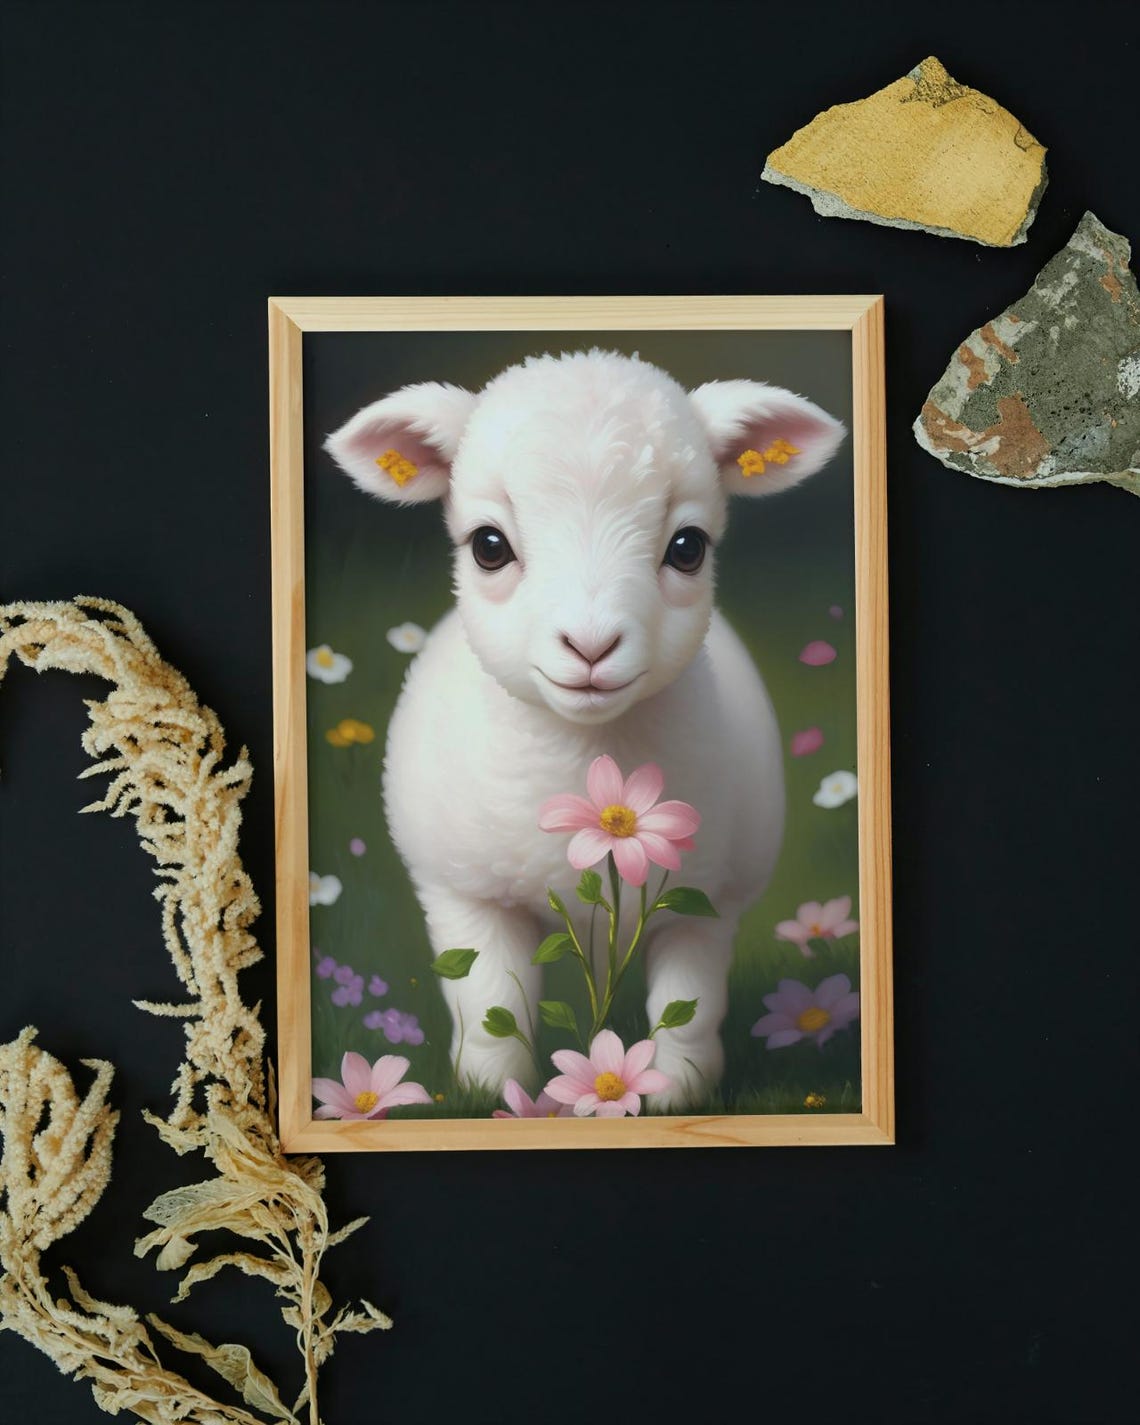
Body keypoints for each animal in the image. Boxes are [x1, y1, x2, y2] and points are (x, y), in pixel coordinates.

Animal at [325, 349, 845, 1109]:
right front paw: (490, 1095)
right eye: (488, 545)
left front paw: (676, 1096)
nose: (592, 645)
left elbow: (687, 1014)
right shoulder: (465, 894)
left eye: (688, 547)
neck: (591, 779)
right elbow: (490, 1009)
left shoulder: (705, 903)